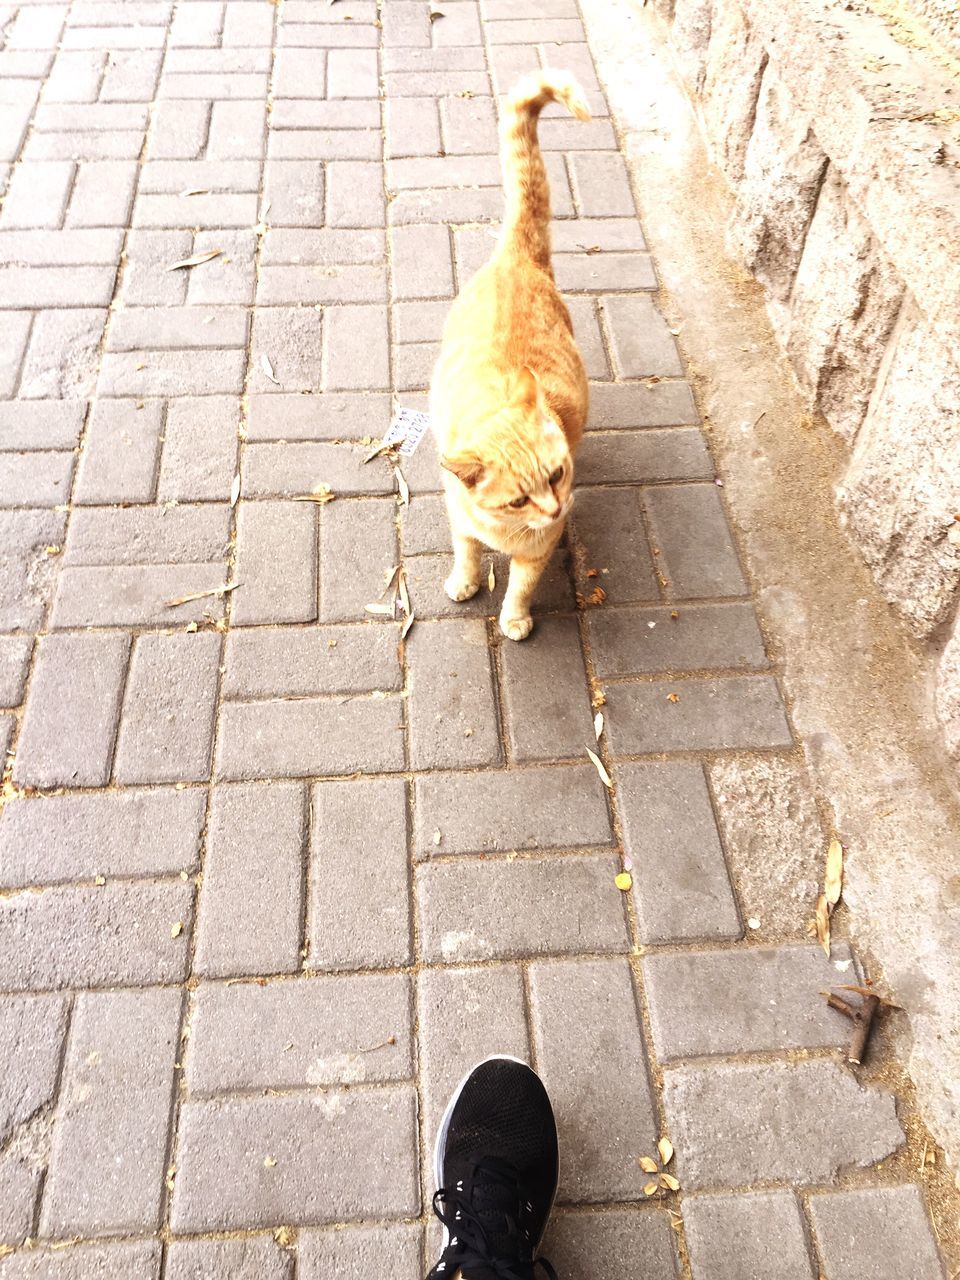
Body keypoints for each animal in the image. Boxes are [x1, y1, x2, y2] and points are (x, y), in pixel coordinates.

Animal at [430, 70, 593, 640]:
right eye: (519, 498)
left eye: (557, 475)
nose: (555, 507)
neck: (505, 530)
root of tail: (515, 258)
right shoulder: (459, 521)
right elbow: (466, 553)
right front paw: (464, 580)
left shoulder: (541, 548)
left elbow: (521, 586)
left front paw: (515, 618)